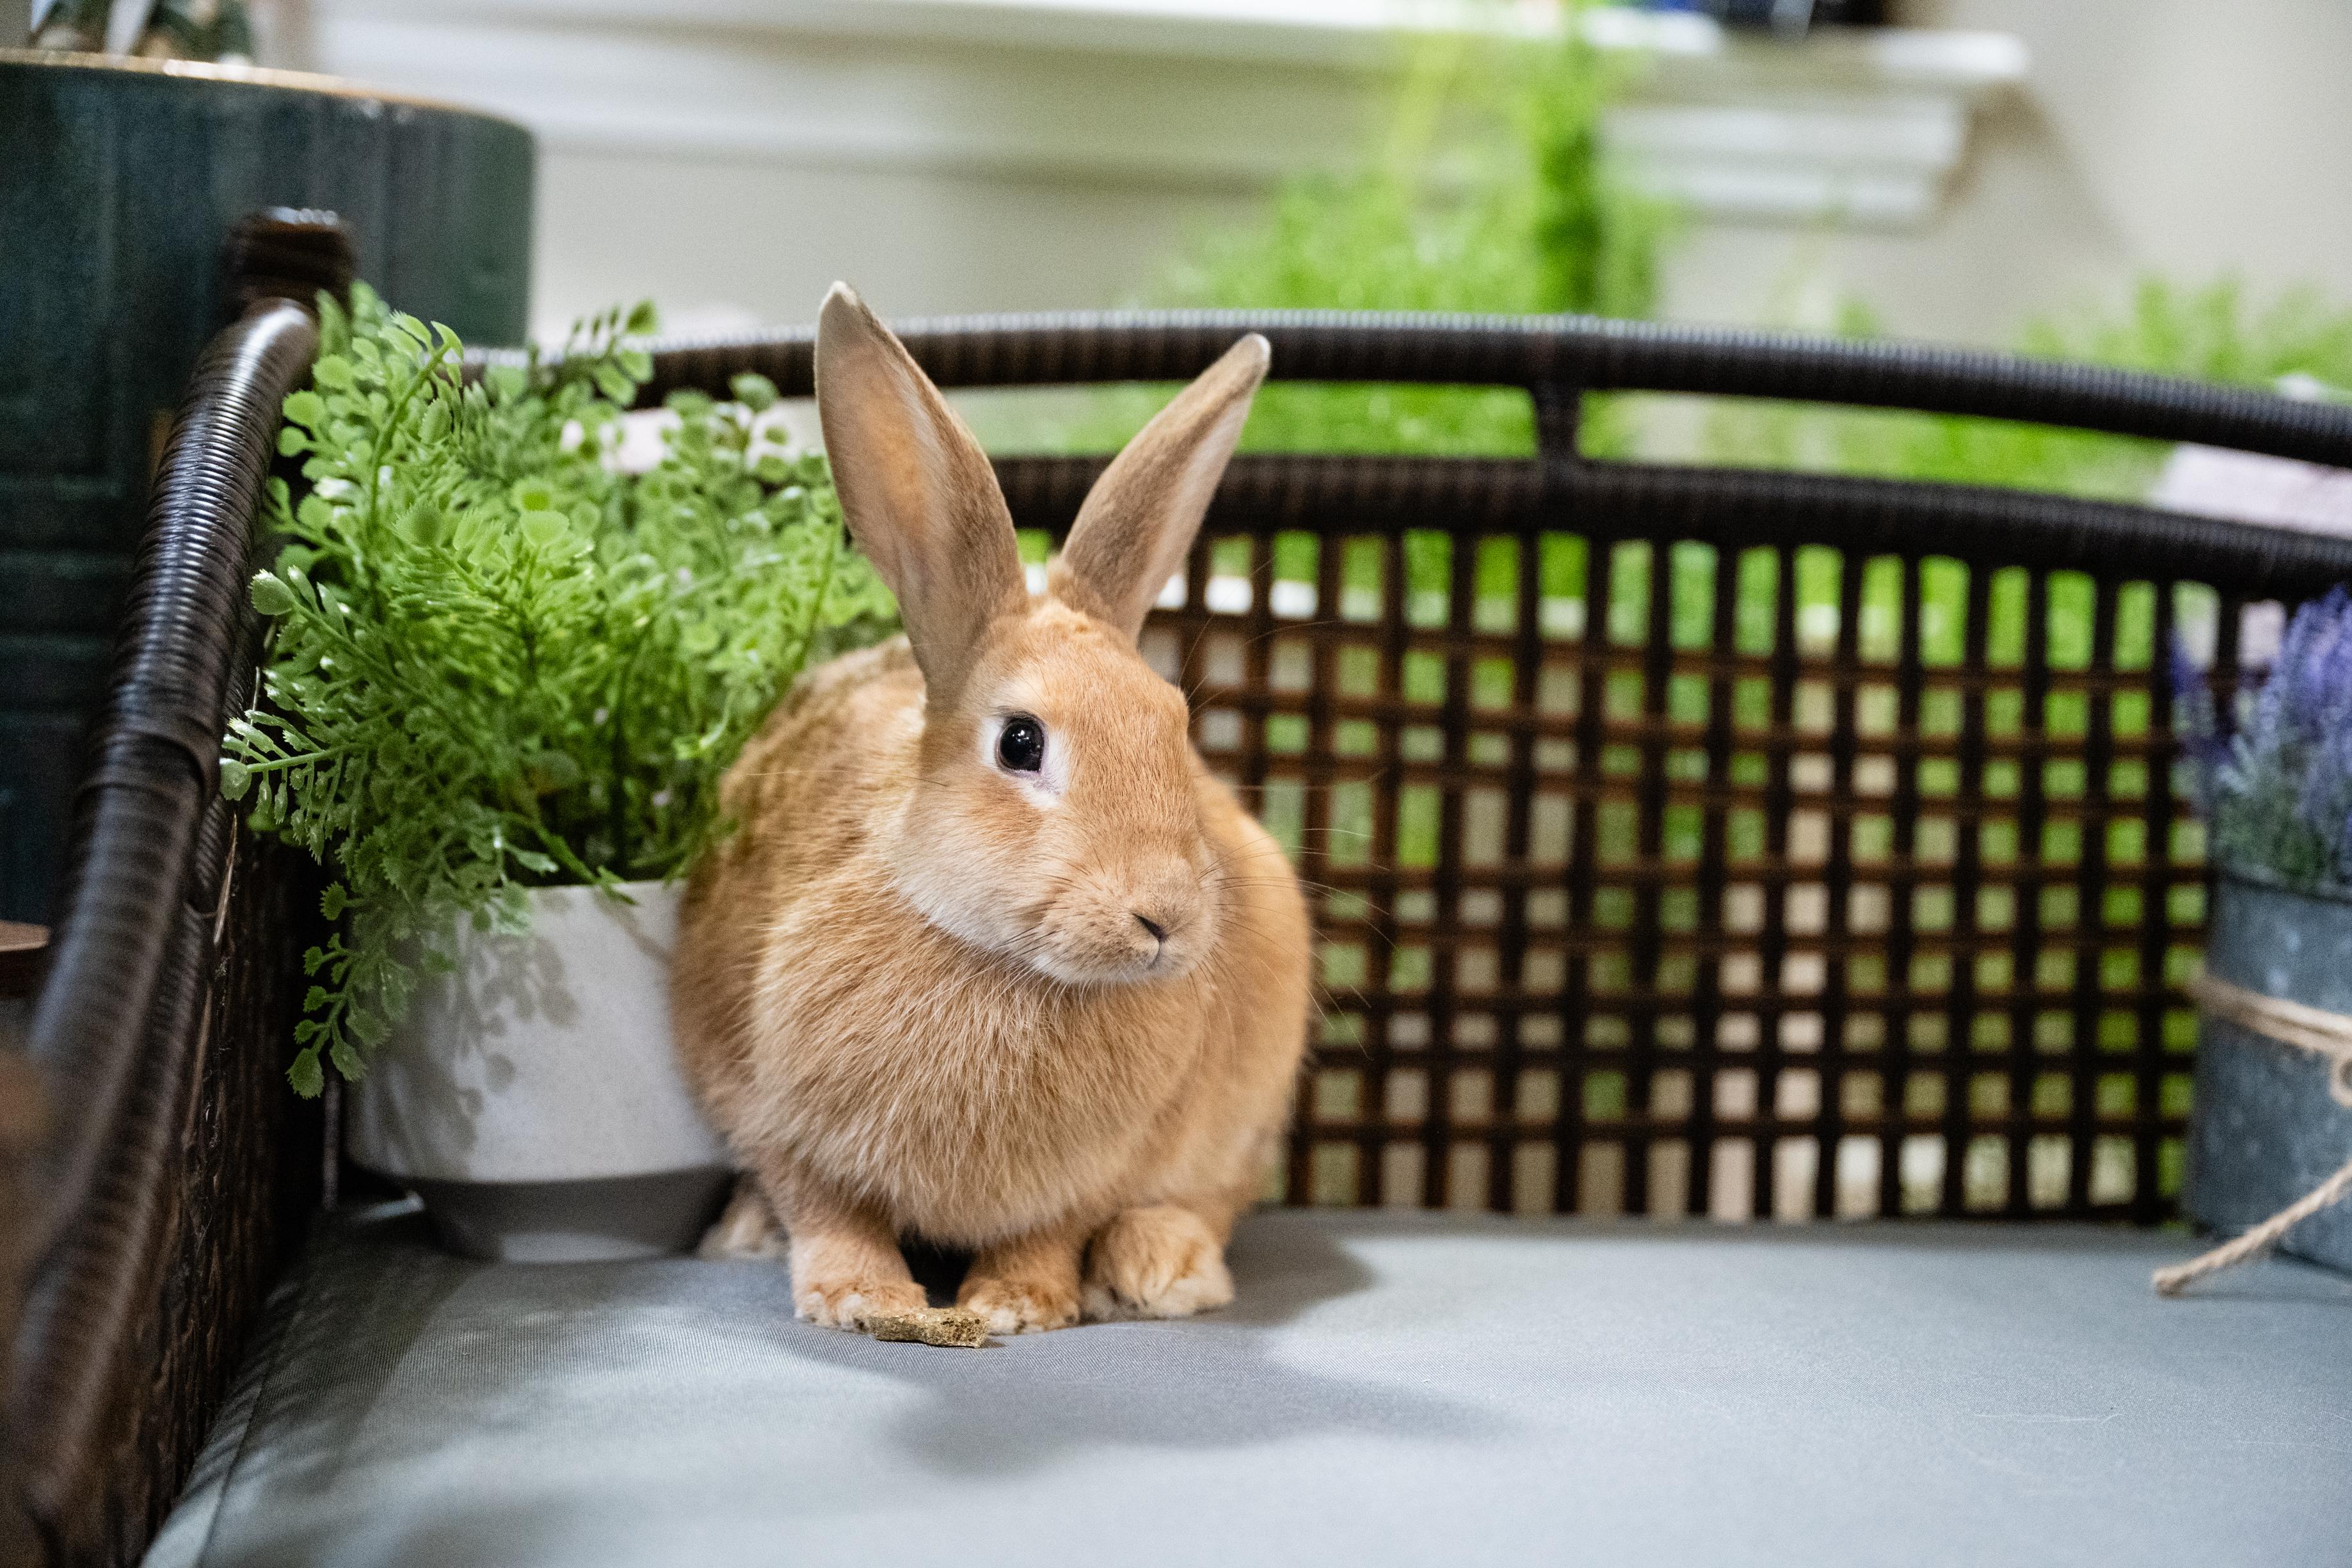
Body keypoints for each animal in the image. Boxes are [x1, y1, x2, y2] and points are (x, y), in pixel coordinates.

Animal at [672, 284, 1312, 1335]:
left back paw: (1157, 1268)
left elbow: (1050, 1229)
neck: (1005, 965)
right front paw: (858, 1295)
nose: (1168, 918)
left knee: (1214, 1197)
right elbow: (826, 1205)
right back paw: (742, 1232)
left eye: (1175, 727)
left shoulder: (1099, 1169)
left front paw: (1022, 1303)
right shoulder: (765, 1107)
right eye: (1020, 742)